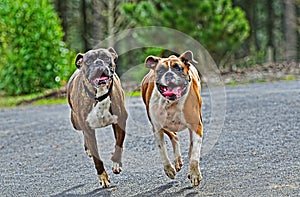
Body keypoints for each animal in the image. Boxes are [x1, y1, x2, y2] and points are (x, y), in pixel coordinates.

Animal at [67, 47, 127, 188]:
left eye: (106, 58)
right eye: (88, 61)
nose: (98, 62)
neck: (100, 95)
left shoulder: (121, 121)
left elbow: (119, 142)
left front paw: (116, 162)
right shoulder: (88, 130)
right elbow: (97, 159)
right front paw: (103, 177)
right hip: (76, 123)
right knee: (83, 134)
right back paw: (88, 149)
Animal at [141, 50, 204, 186]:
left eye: (178, 68)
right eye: (160, 70)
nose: (169, 75)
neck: (172, 103)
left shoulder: (196, 125)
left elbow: (195, 153)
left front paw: (194, 173)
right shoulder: (157, 128)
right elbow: (162, 151)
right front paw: (169, 169)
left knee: (191, 143)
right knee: (174, 136)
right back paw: (177, 161)